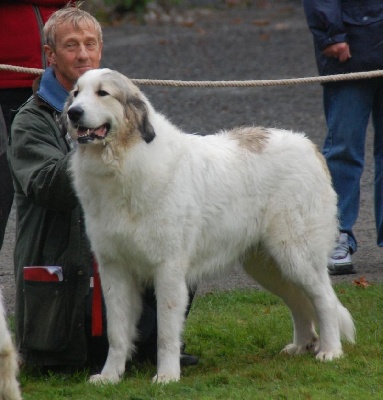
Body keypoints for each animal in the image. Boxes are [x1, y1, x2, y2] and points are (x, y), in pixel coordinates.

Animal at [64, 69, 356, 384]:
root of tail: (309, 146)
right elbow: (117, 333)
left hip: (297, 255)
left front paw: (166, 376)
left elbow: (166, 333)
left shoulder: (168, 270)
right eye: (76, 93)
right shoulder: (114, 269)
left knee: (324, 300)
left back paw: (330, 351)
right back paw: (301, 346)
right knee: (299, 302)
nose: (72, 112)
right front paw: (109, 377)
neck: (122, 162)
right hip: (269, 266)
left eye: (102, 93)